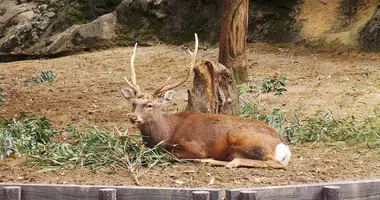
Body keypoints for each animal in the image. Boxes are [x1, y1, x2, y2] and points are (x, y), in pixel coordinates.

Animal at [119, 33, 290, 168]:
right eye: (133, 103)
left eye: (149, 105)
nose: (133, 117)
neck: (165, 135)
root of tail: (284, 147)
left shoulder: (196, 147)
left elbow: (172, 155)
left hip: (244, 137)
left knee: (274, 163)